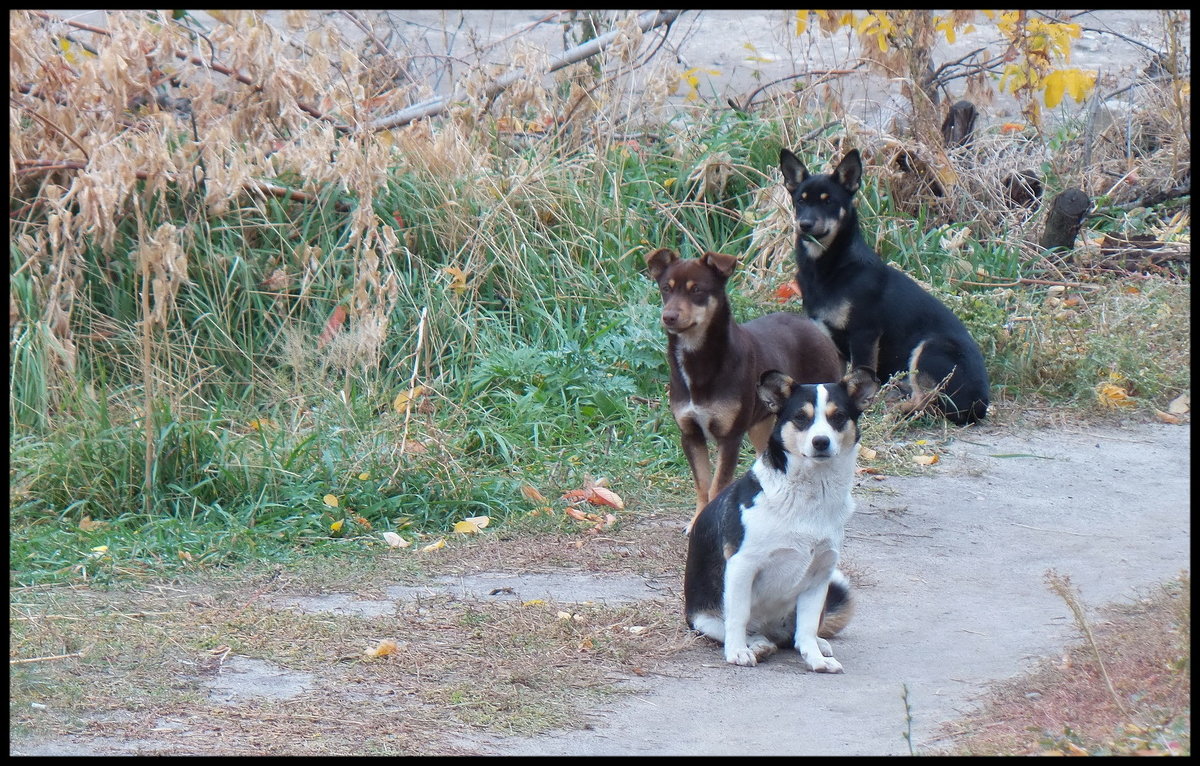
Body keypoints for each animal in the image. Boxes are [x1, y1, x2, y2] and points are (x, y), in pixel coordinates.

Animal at [648, 249, 844, 530]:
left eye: (697, 289)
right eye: (666, 288)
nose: (669, 317)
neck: (699, 362)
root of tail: (811, 325)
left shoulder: (730, 438)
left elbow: (717, 486)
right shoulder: (690, 434)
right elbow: (702, 485)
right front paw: (697, 521)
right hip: (762, 425)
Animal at [686, 372, 873, 672]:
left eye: (838, 416)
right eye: (800, 417)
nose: (821, 442)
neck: (810, 493)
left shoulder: (820, 574)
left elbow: (807, 628)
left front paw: (815, 658)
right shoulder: (742, 565)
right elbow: (738, 617)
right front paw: (737, 652)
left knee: (798, 634)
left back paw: (815, 644)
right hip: (704, 619)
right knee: (742, 629)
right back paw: (756, 645)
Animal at [777, 150, 993, 427]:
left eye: (829, 201)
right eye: (800, 201)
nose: (804, 224)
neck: (831, 267)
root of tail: (980, 406)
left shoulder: (864, 333)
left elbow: (859, 374)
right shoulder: (828, 337)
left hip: (930, 348)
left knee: (927, 403)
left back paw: (895, 409)